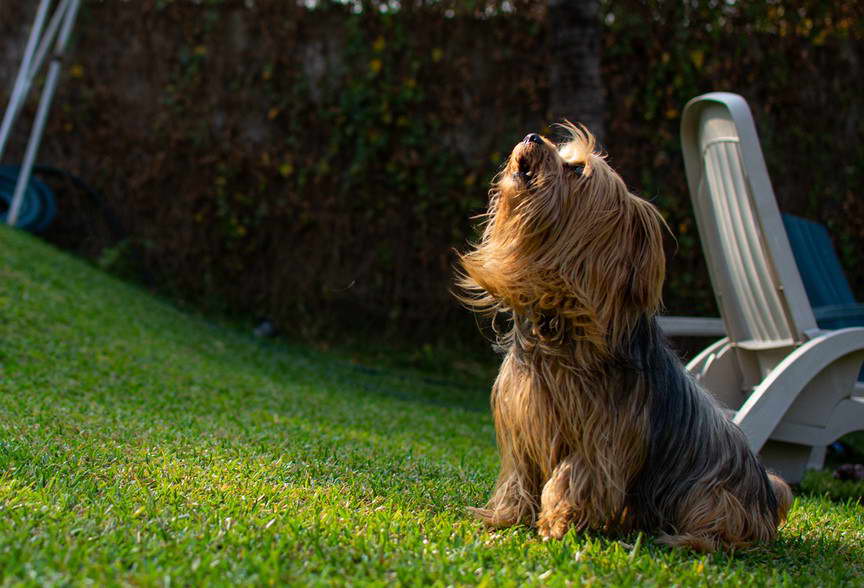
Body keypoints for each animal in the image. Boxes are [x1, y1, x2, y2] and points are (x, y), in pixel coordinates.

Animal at [460, 124, 788, 552]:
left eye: (576, 169)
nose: (532, 136)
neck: (563, 319)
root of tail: (768, 495)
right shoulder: (523, 420)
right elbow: (521, 475)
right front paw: (506, 517)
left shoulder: (603, 434)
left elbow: (575, 474)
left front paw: (558, 522)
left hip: (712, 492)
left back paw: (685, 539)